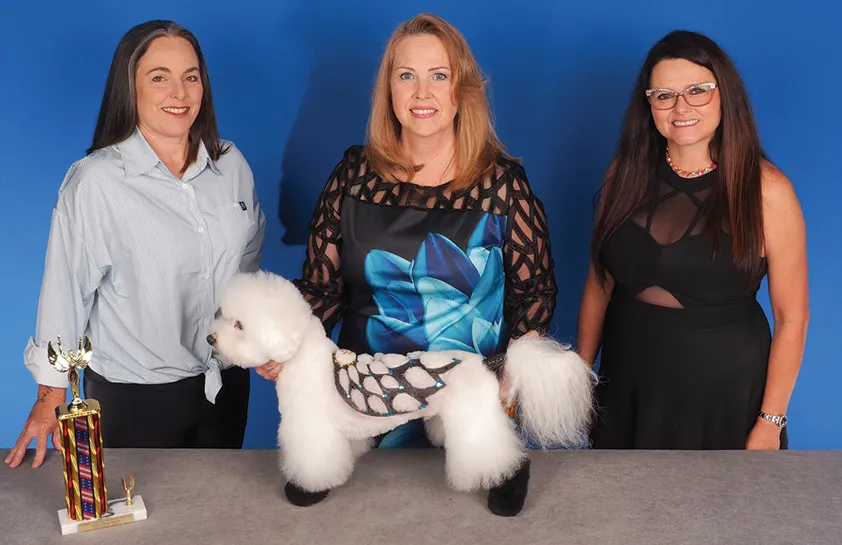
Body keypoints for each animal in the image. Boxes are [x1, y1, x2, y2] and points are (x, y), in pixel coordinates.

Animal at [208, 270, 592, 516]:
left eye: (239, 325)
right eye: (225, 316)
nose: (211, 338)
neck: (303, 357)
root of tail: (490, 362)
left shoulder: (311, 429)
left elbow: (312, 463)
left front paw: (305, 492)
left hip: (476, 422)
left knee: (508, 460)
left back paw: (507, 501)